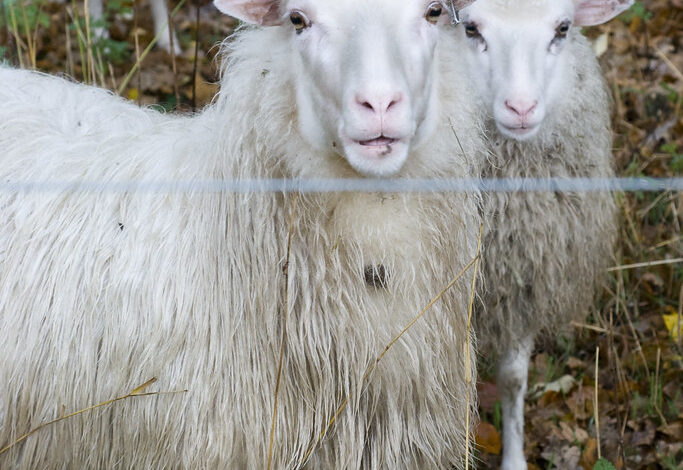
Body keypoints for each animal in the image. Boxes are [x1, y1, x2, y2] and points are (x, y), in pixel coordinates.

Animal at [457, 0, 630, 468]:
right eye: (470, 28)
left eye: (563, 28)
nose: (521, 108)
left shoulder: (522, 281)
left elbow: (513, 378)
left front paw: (514, 457)